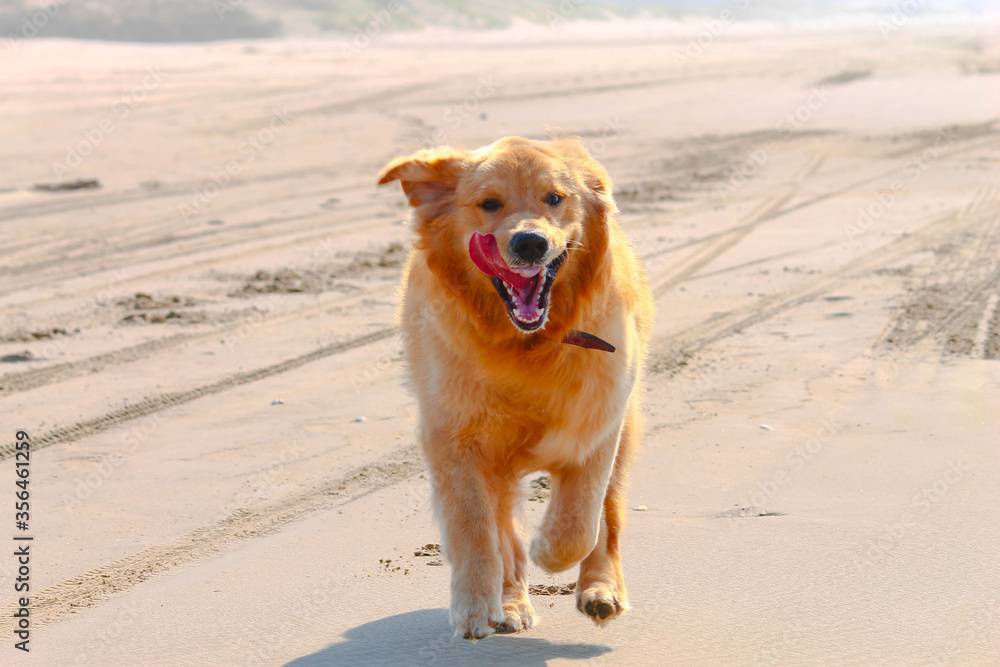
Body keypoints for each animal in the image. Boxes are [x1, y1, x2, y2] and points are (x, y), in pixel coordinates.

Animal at [378, 137, 652, 640]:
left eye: (555, 198)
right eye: (489, 204)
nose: (530, 242)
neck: (528, 344)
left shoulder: (600, 419)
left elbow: (581, 519)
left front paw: (550, 551)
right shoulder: (452, 437)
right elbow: (472, 524)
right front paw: (473, 606)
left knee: (608, 515)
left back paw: (600, 589)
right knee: (502, 528)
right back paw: (509, 604)